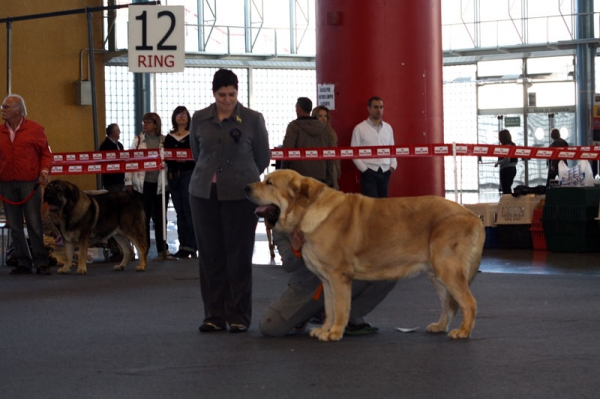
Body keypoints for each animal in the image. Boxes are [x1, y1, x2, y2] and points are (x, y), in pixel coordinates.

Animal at [246, 170, 486, 342]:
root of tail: (474, 216)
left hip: (448, 270)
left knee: (469, 302)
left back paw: (463, 331)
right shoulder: (326, 280)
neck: (307, 210)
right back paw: (440, 327)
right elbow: (329, 308)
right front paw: (324, 329)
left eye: (269, 183)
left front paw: (334, 333)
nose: (246, 187)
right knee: (449, 304)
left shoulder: (339, 276)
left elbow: (340, 308)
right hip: (436, 275)